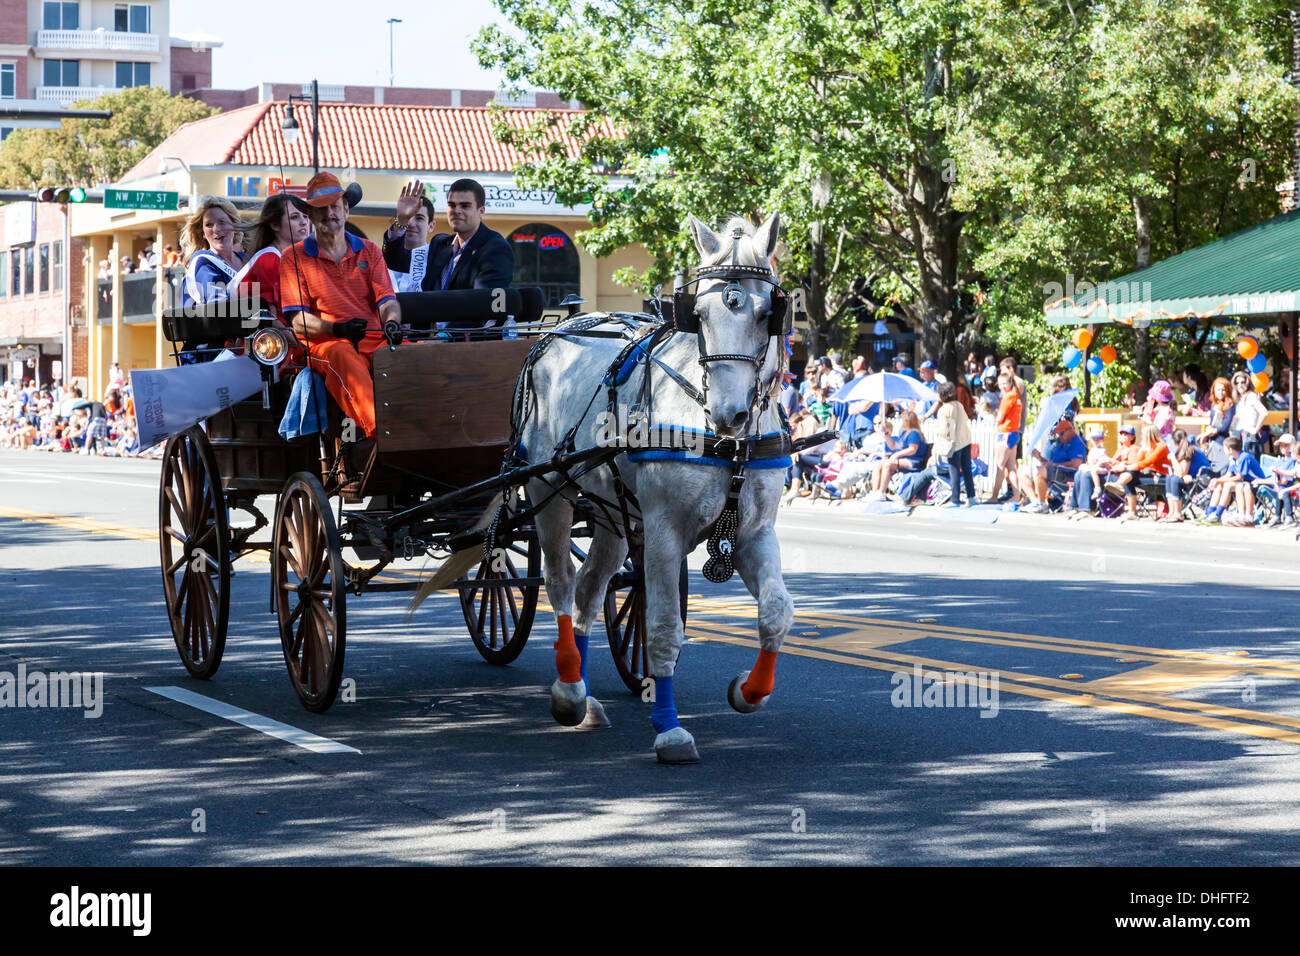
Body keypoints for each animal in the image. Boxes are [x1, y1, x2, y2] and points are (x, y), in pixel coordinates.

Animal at [514, 210, 790, 764]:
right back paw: (569, 692)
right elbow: (663, 630)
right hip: (548, 490)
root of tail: (559, 328)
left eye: (766, 312)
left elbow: (775, 614)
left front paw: (749, 691)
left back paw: (582, 694)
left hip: (611, 512)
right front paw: (669, 729)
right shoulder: (664, 530)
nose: (731, 414)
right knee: (559, 585)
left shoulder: (753, 533)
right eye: (698, 314)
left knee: (589, 589)